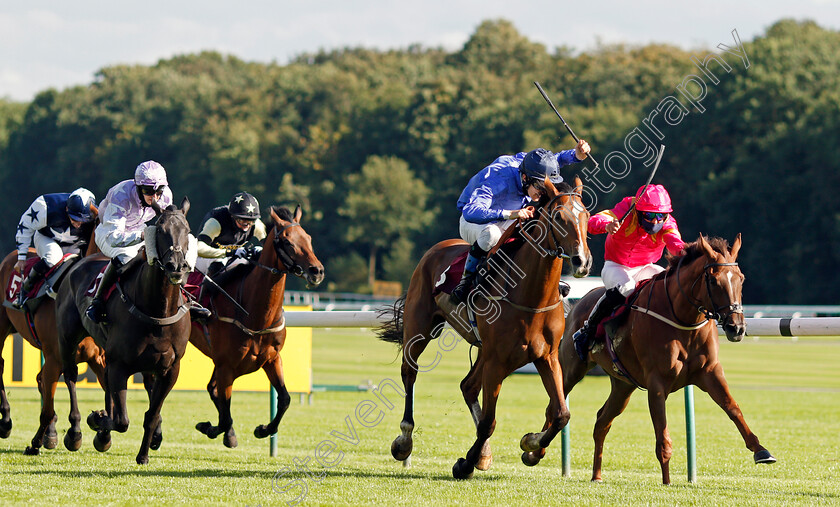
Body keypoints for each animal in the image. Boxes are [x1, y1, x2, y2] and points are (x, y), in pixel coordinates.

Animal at [0, 224, 107, 454]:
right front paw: (70, 434)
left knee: (40, 379)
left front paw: (101, 427)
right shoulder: (57, 356)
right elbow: (52, 403)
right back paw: (6, 421)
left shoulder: (98, 359)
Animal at [54, 198, 194, 464]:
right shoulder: (120, 364)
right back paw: (76, 432)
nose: (176, 266)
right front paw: (97, 420)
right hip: (67, 338)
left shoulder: (170, 369)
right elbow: (121, 421)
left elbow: (151, 415)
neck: (158, 311)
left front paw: (143, 455)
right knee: (71, 376)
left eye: (187, 230)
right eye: (160, 230)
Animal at [190, 206, 324, 448]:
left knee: (212, 389)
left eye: (308, 238)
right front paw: (212, 429)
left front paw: (264, 429)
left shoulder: (272, 358)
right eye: (287, 241)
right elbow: (225, 412)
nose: (316, 271)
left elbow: (285, 399)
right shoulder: (226, 365)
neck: (253, 313)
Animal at [378, 179, 592, 480]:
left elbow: (561, 413)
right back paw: (405, 440)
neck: (531, 297)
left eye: (586, 216)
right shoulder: (497, 361)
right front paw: (465, 463)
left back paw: (484, 453)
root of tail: (438, 247)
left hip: (485, 350)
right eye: (560, 217)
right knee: (410, 371)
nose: (582, 261)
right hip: (420, 327)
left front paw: (530, 445)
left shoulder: (546, 356)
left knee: (468, 385)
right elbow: (489, 421)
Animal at [556, 236, 776, 486]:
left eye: (741, 278)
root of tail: (578, 303)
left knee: (602, 421)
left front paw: (761, 450)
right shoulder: (657, 383)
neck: (683, 319)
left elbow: (733, 408)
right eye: (713, 280)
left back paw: (596, 475)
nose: (736, 328)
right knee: (557, 402)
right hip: (572, 369)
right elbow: (662, 434)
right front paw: (667, 481)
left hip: (623, 385)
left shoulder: (710, 372)